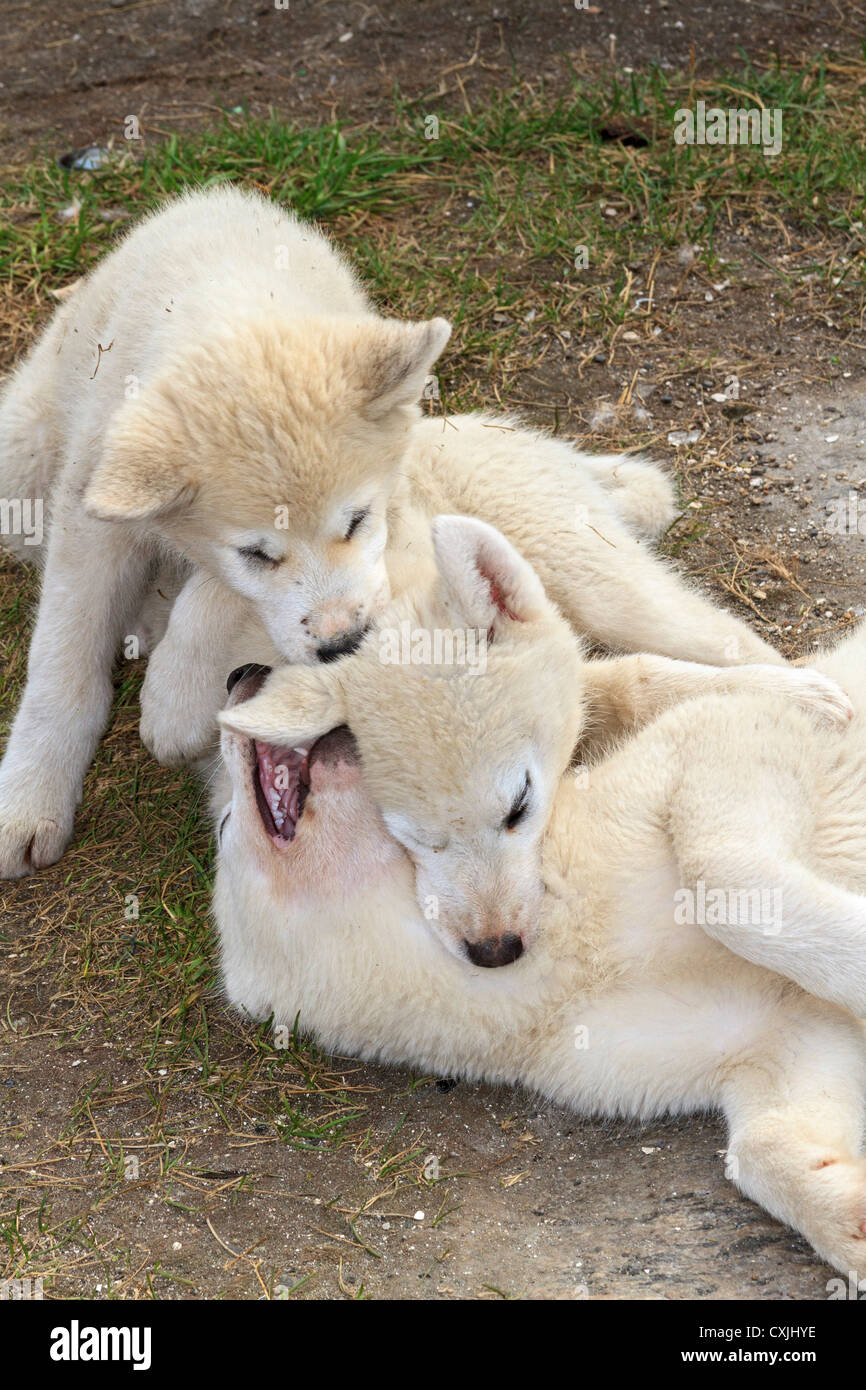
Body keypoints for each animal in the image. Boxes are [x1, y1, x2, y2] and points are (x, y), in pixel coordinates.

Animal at [209, 517, 866, 1273]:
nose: (241, 674)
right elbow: (761, 1149)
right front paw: (853, 1223)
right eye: (225, 824)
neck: (569, 960)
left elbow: (722, 882)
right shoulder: (787, 1034)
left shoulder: (724, 738)